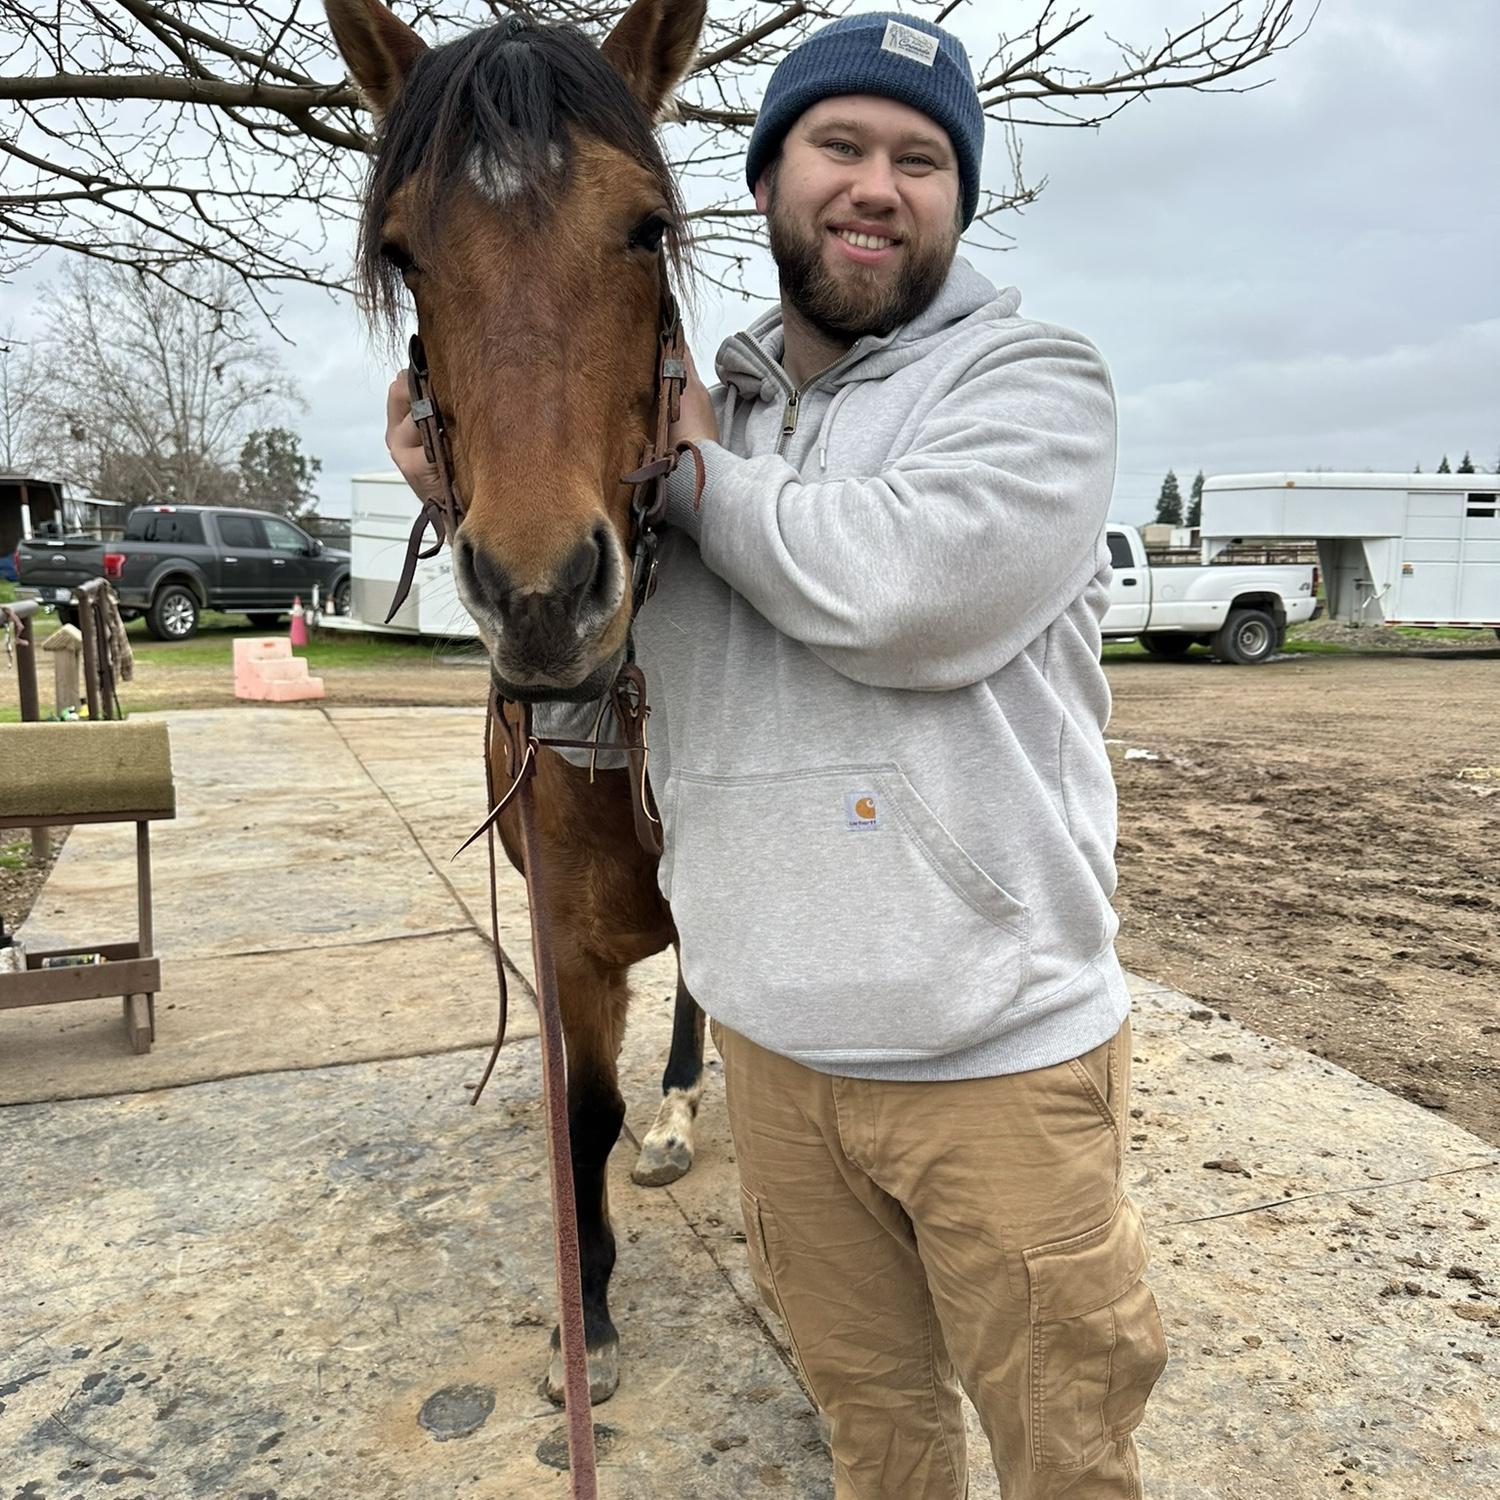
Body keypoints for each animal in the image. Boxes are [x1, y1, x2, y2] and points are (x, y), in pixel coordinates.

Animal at [325, 0, 711, 1404]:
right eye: (403, 252)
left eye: (645, 226)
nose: (543, 598)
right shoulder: (565, 942)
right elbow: (579, 1112)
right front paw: (584, 1310)